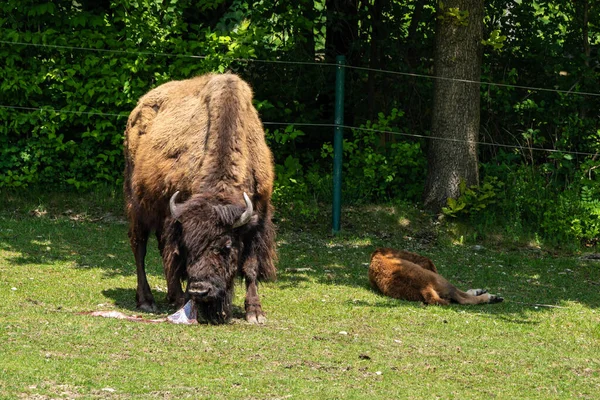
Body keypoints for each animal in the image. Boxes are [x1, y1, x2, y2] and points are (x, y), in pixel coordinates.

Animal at [125, 72, 278, 324]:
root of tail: (138, 107)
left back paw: (174, 296)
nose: (200, 290)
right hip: (137, 205)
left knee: (162, 249)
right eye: (189, 245)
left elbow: (250, 267)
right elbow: (176, 257)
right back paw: (148, 300)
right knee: (140, 247)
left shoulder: (258, 220)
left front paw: (255, 312)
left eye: (225, 246)